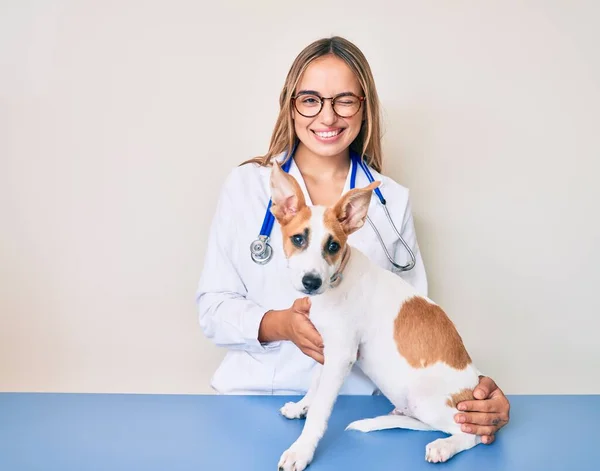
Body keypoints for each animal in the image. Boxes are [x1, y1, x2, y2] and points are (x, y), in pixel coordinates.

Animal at [270, 160, 486, 470]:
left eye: (333, 246)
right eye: (298, 239)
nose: (311, 282)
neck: (337, 283)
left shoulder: (342, 355)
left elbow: (321, 410)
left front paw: (301, 450)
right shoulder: (327, 348)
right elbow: (315, 384)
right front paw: (301, 406)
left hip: (426, 400)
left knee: (470, 433)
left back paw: (444, 446)